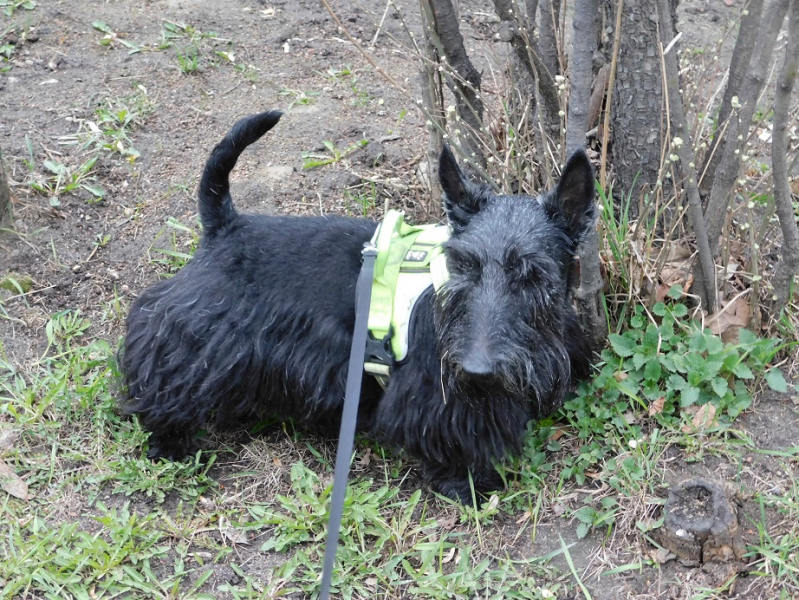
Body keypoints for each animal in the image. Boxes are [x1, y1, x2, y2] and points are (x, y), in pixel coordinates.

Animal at [122, 109, 596, 502]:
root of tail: (225, 226)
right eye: (463, 267)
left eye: (532, 275)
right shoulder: (435, 395)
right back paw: (170, 442)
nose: (477, 370)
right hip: (194, 342)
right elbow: (450, 436)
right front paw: (468, 484)